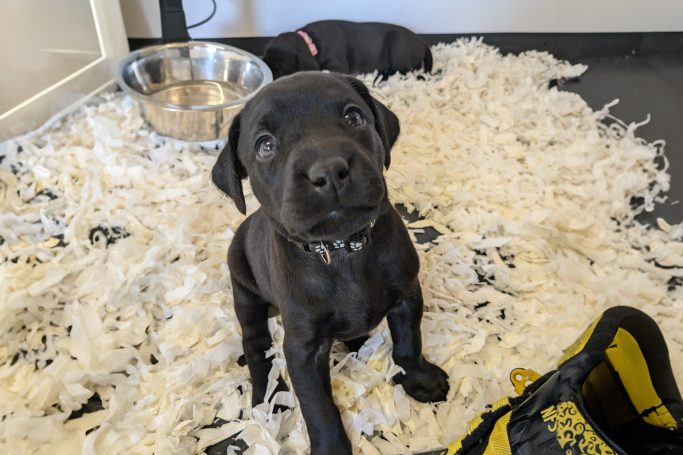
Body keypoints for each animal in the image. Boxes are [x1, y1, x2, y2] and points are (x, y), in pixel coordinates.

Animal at [212, 73, 448, 454]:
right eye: (266, 146)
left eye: (354, 117)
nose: (329, 170)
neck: (341, 249)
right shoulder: (303, 349)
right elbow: (318, 406)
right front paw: (331, 447)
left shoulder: (407, 296)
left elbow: (409, 344)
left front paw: (421, 378)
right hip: (245, 293)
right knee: (255, 346)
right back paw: (268, 396)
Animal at [264, 20, 432, 79]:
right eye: (264, 60)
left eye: (280, 67)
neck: (311, 42)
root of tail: (423, 42)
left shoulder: (338, 65)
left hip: (396, 43)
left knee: (404, 70)